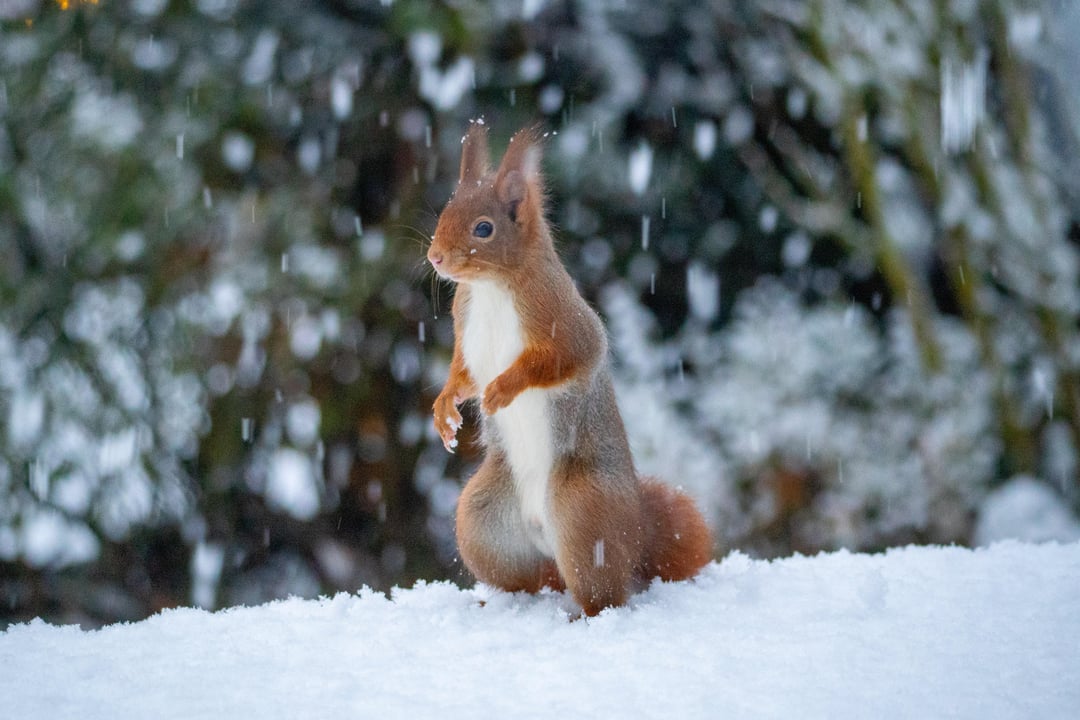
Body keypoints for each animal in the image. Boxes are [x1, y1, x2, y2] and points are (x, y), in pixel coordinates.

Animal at [428, 122, 713, 616]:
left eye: (484, 228)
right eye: (445, 210)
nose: (436, 258)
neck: (491, 288)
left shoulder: (564, 321)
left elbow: (566, 359)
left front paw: (502, 389)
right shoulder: (465, 329)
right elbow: (461, 375)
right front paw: (444, 409)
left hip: (584, 513)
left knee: (603, 591)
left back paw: (584, 615)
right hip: (482, 522)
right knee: (526, 579)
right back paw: (497, 603)